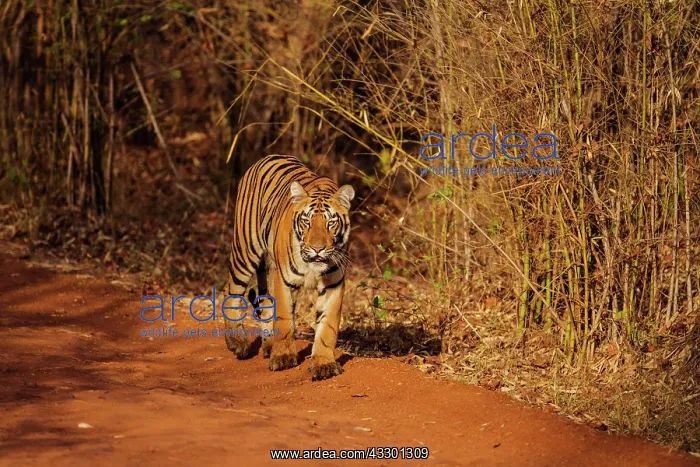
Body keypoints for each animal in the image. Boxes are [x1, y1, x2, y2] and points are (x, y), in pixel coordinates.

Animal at [224, 154, 355, 381]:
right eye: (306, 222)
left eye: (330, 223)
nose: (317, 249)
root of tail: (265, 158)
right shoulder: (283, 281)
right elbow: (284, 319)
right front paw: (284, 357)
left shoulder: (333, 284)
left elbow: (327, 326)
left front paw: (324, 363)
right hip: (245, 251)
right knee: (231, 292)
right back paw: (238, 343)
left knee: (265, 301)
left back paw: (268, 345)